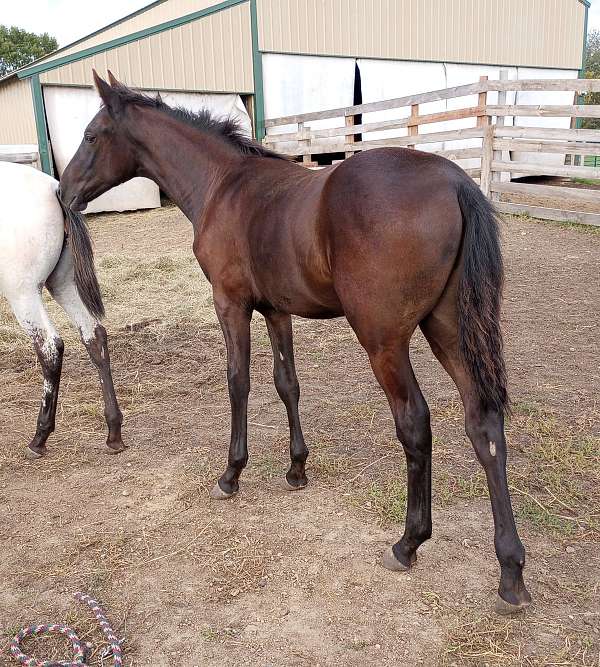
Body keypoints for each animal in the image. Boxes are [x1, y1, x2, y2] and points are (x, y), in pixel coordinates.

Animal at [0, 161, 124, 458]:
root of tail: (54, 188)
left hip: (23, 294)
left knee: (50, 348)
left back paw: (40, 437)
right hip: (63, 284)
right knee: (94, 336)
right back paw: (113, 431)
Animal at [59, 70, 531, 613]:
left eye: (91, 135)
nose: (64, 193)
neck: (223, 185)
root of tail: (455, 181)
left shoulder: (231, 303)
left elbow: (238, 382)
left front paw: (231, 474)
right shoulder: (276, 309)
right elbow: (287, 383)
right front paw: (296, 468)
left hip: (384, 341)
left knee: (415, 423)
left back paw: (408, 543)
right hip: (448, 330)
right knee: (483, 423)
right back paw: (511, 572)